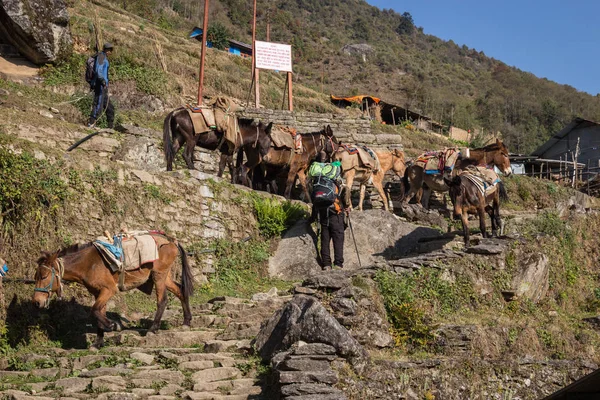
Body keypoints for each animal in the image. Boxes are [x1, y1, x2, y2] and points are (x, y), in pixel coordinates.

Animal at [32, 233, 193, 348]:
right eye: (35, 277)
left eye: (44, 276)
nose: (37, 302)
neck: (88, 264)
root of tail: (172, 241)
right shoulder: (98, 293)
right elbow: (99, 313)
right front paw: (98, 343)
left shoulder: (109, 290)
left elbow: (94, 310)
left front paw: (112, 325)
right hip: (164, 276)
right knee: (180, 291)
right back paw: (186, 321)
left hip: (158, 275)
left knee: (162, 300)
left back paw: (153, 328)